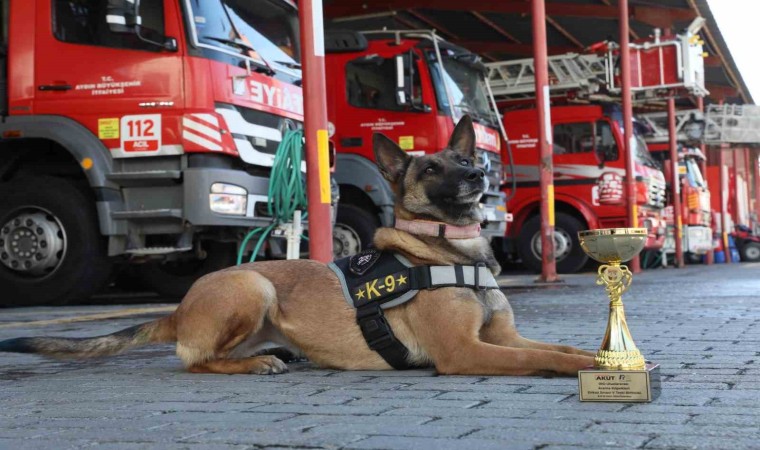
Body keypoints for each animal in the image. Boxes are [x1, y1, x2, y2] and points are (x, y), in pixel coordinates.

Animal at [0, 117, 592, 376]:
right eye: (429, 169)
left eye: (465, 160)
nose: (477, 175)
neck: (449, 255)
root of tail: (179, 308)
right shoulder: (465, 352)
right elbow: (538, 358)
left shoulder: (501, 336)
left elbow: (562, 348)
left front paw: (602, 357)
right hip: (253, 283)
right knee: (195, 361)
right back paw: (258, 364)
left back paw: (273, 352)